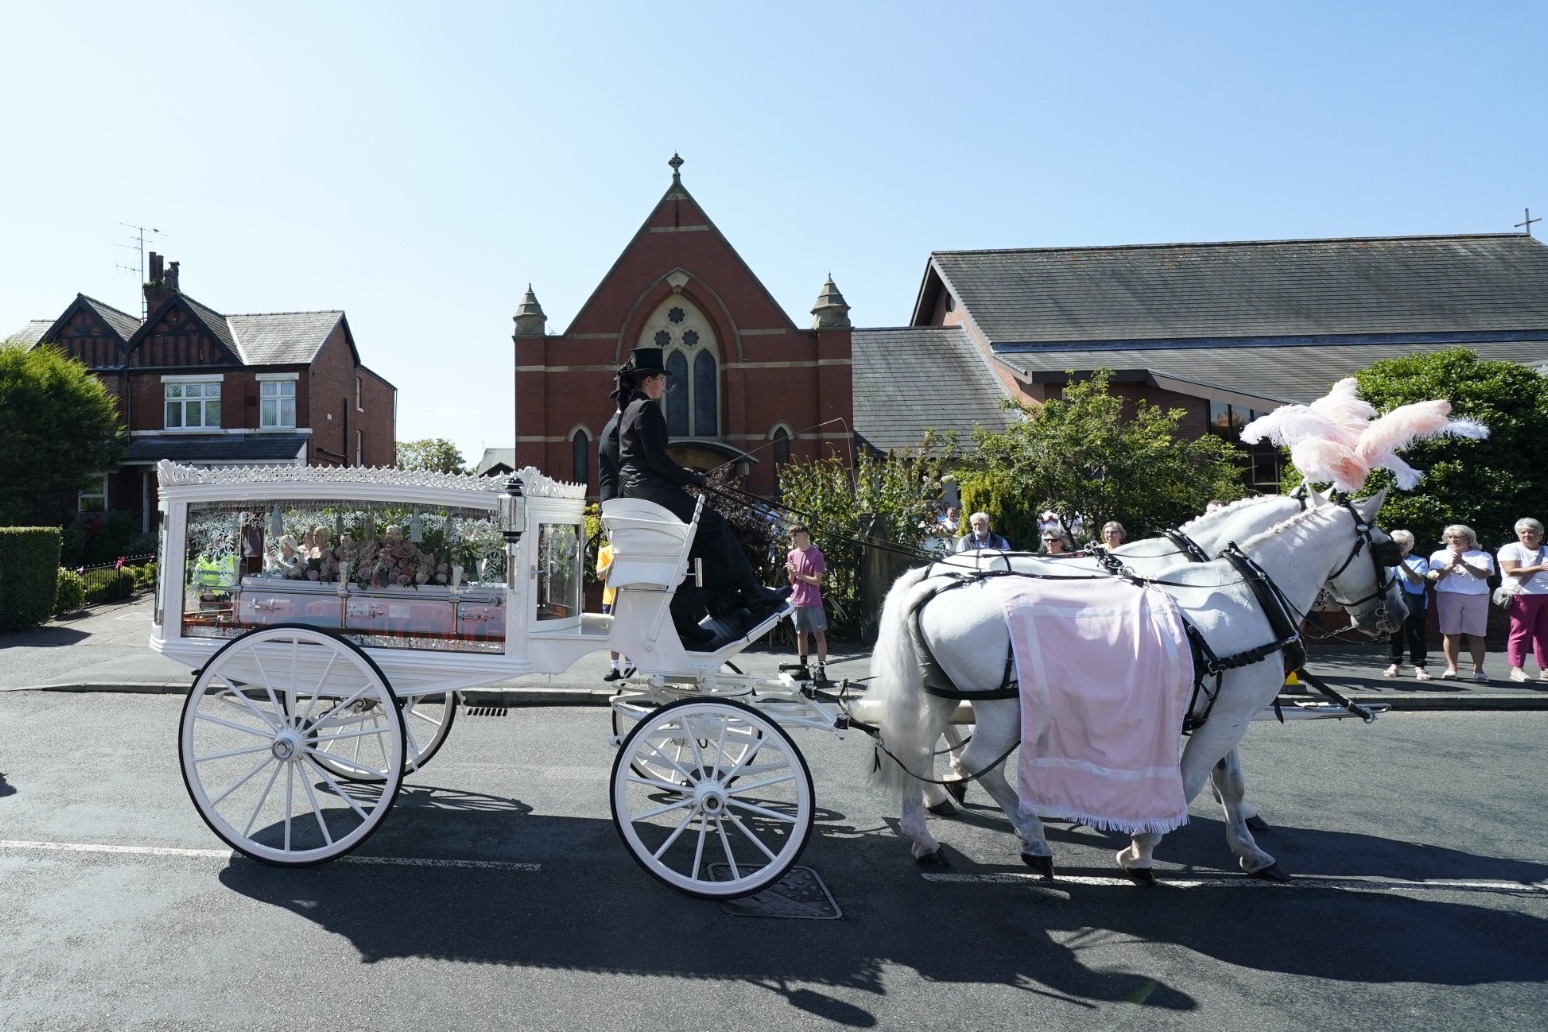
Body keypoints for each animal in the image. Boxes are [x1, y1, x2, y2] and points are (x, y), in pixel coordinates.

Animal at [873, 492, 1405, 878]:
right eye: (1389, 549)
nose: (1397, 615)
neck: (1243, 594)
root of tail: (933, 577)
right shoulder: (1226, 715)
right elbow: (1190, 780)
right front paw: (1142, 847)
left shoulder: (1223, 709)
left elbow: (1228, 781)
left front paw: (1249, 848)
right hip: (1004, 708)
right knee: (976, 759)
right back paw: (1029, 836)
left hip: (938, 693)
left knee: (914, 748)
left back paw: (927, 830)